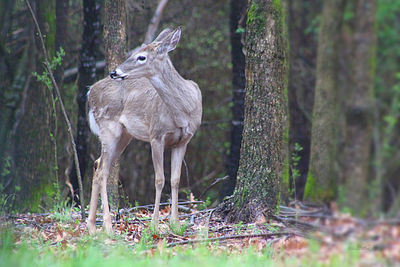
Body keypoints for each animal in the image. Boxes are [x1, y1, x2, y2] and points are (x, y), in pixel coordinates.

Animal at [86, 27, 202, 234]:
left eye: (141, 57)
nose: (114, 72)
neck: (183, 111)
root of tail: (90, 90)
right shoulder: (156, 135)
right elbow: (159, 179)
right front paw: (155, 224)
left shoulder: (184, 140)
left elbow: (175, 179)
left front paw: (175, 223)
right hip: (109, 127)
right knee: (103, 172)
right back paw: (107, 225)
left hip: (125, 135)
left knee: (98, 164)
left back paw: (91, 225)